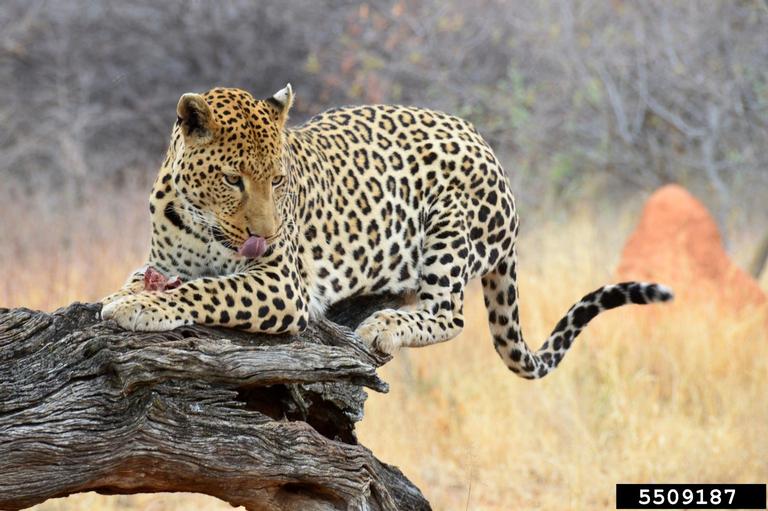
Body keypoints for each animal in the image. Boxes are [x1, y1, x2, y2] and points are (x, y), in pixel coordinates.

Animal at [101, 85, 673, 379]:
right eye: (232, 179)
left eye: (278, 180)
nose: (263, 234)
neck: (195, 220)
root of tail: (489, 150)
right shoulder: (164, 262)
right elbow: (156, 277)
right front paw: (123, 294)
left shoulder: (283, 283)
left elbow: (208, 290)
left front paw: (142, 307)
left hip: (448, 223)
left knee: (450, 314)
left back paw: (386, 326)